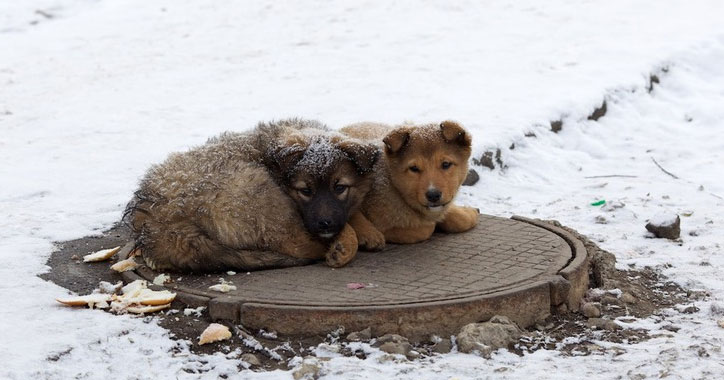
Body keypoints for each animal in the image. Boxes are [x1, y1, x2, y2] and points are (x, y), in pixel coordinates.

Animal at [340, 119, 478, 249]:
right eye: (414, 168)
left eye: (446, 164)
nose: (433, 195)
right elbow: (425, 229)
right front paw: (371, 233)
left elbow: (459, 220)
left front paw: (470, 212)